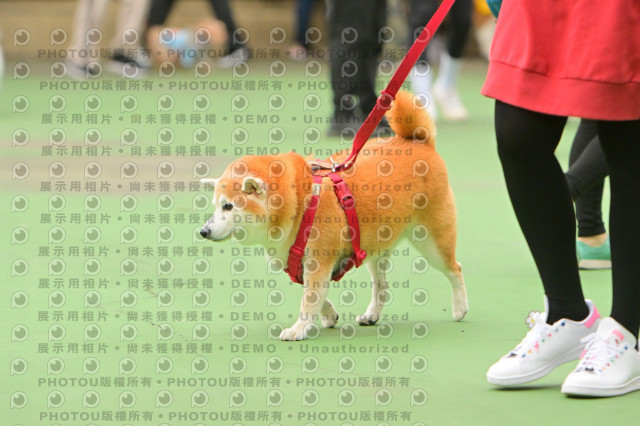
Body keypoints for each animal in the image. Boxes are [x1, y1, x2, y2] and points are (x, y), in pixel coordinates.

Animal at [200, 91, 468, 341]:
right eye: (215, 206)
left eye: (228, 207)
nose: (203, 231)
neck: (302, 202)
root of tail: (418, 141)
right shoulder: (301, 264)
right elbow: (317, 296)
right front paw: (328, 315)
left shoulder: (319, 260)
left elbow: (309, 298)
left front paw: (298, 329)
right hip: (376, 244)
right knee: (381, 285)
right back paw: (372, 315)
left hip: (432, 241)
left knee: (455, 268)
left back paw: (460, 307)